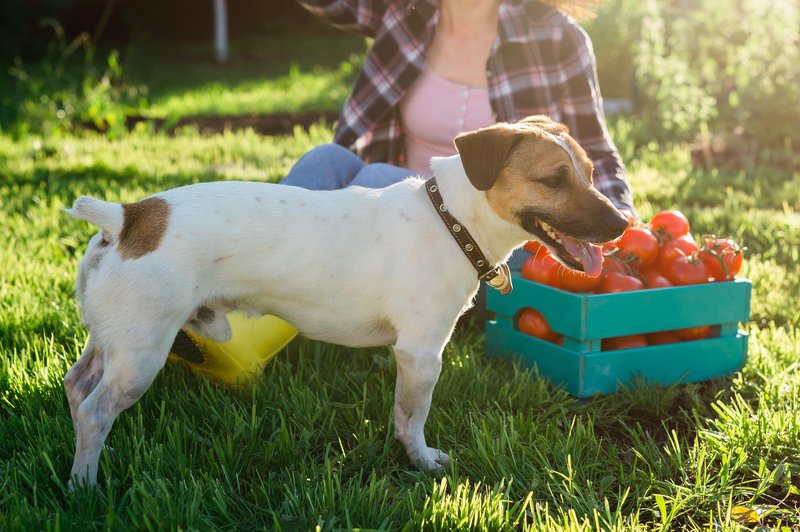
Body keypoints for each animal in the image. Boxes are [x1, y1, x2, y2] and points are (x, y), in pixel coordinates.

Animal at [64, 115, 632, 486]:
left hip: (113, 341)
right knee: (95, 412)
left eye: (588, 171)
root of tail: (128, 218)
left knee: (77, 386)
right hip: (141, 354)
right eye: (553, 179)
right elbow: (411, 417)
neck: (450, 221)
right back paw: (84, 486)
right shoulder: (420, 354)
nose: (622, 224)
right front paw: (421, 462)